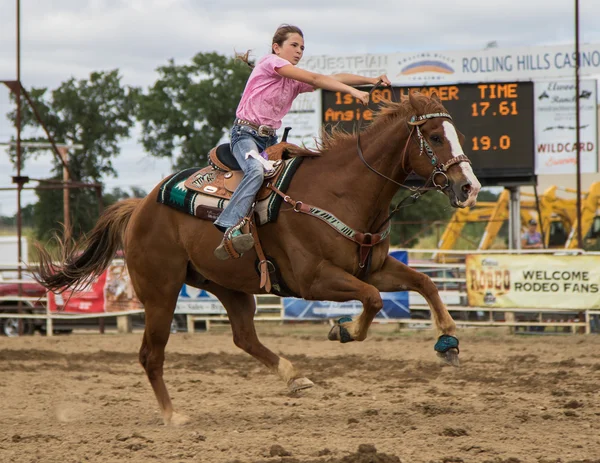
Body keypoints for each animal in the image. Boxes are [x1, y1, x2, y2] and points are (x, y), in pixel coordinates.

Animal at [35, 91, 480, 428]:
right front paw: (343, 330)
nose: (470, 187)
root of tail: (140, 207)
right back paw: (173, 416)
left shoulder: (373, 267)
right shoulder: (314, 279)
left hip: (227, 286)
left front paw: (448, 342)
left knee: (243, 337)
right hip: (161, 291)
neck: (342, 190)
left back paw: (294, 377)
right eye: (436, 137)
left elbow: (424, 282)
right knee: (151, 354)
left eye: (456, 134)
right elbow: (371, 299)